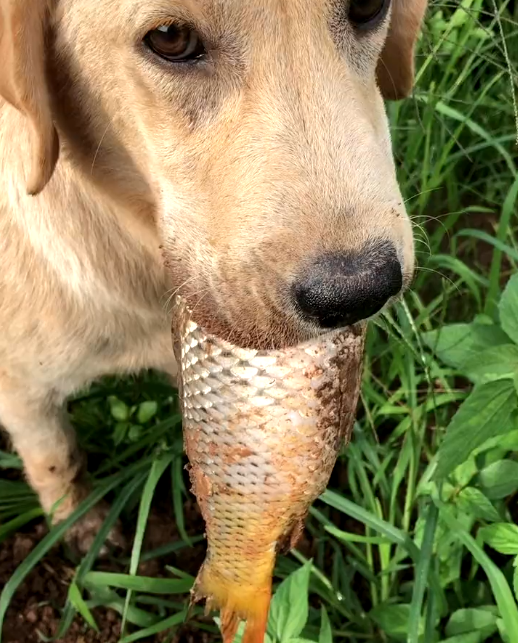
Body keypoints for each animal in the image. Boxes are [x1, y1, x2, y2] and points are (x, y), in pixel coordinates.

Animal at [1, 0, 426, 552]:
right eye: (170, 37)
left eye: (369, 6)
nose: (359, 293)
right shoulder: (20, 391)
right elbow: (57, 459)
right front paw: (77, 524)